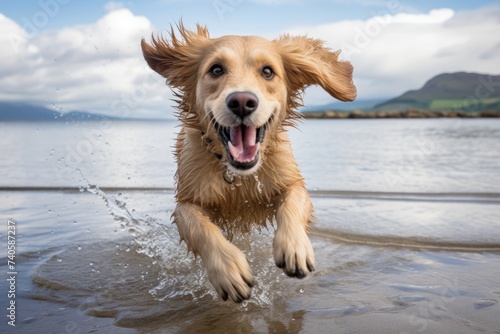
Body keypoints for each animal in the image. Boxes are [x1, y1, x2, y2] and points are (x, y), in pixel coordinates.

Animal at [141, 24, 356, 302]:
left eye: (267, 71)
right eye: (216, 69)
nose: (242, 101)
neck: (238, 176)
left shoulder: (290, 180)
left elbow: (293, 202)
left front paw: (294, 246)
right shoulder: (187, 201)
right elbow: (200, 227)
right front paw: (228, 268)